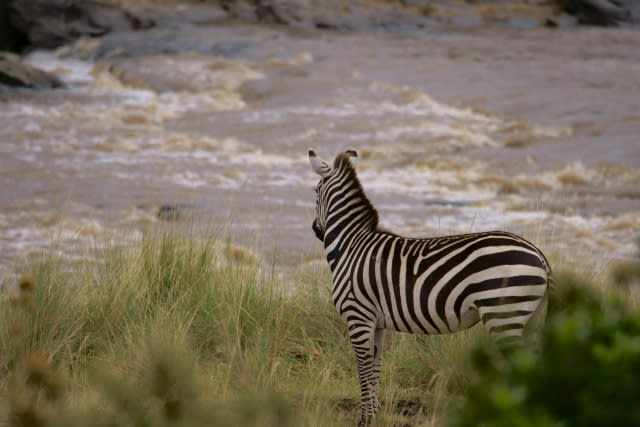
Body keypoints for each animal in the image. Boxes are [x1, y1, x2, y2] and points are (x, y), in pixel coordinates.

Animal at [308, 149, 548, 426]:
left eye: (315, 191)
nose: (316, 230)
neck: (350, 246)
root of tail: (538, 254)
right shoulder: (376, 322)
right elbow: (375, 367)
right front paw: (374, 416)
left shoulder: (357, 316)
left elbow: (363, 367)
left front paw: (364, 420)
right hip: (530, 318)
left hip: (504, 315)